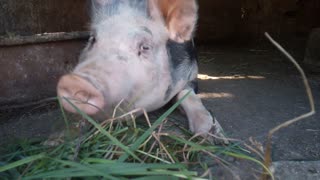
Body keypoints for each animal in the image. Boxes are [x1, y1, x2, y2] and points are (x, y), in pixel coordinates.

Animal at [57, 0, 228, 143]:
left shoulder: (191, 73)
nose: (75, 81)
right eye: (92, 40)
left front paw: (212, 136)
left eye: (145, 47)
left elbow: (187, 95)